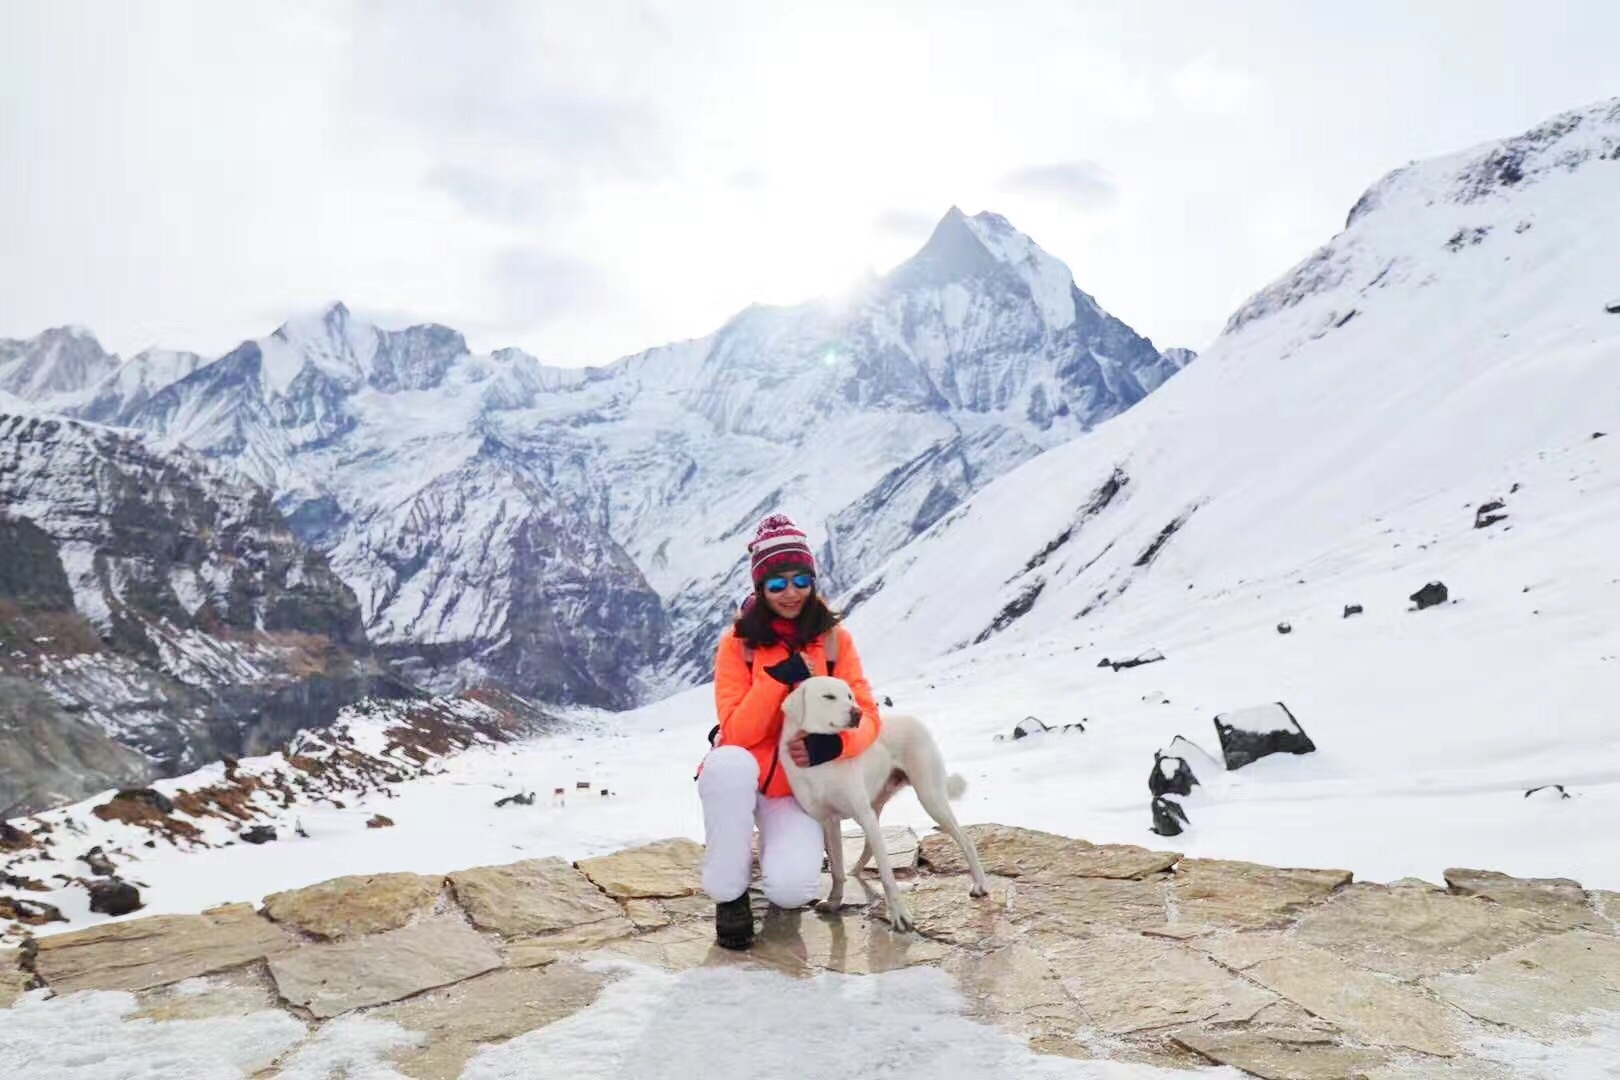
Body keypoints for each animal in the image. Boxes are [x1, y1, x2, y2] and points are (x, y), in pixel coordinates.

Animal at [780, 680, 991, 932]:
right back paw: (856, 870)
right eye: (829, 696)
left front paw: (900, 915)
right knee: (869, 846)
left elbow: (887, 877)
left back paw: (980, 884)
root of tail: (913, 719)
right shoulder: (828, 822)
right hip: (875, 807)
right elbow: (836, 870)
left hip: (929, 799)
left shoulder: (859, 814)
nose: (858, 713)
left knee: (965, 840)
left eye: (850, 697)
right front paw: (833, 902)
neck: (820, 763)